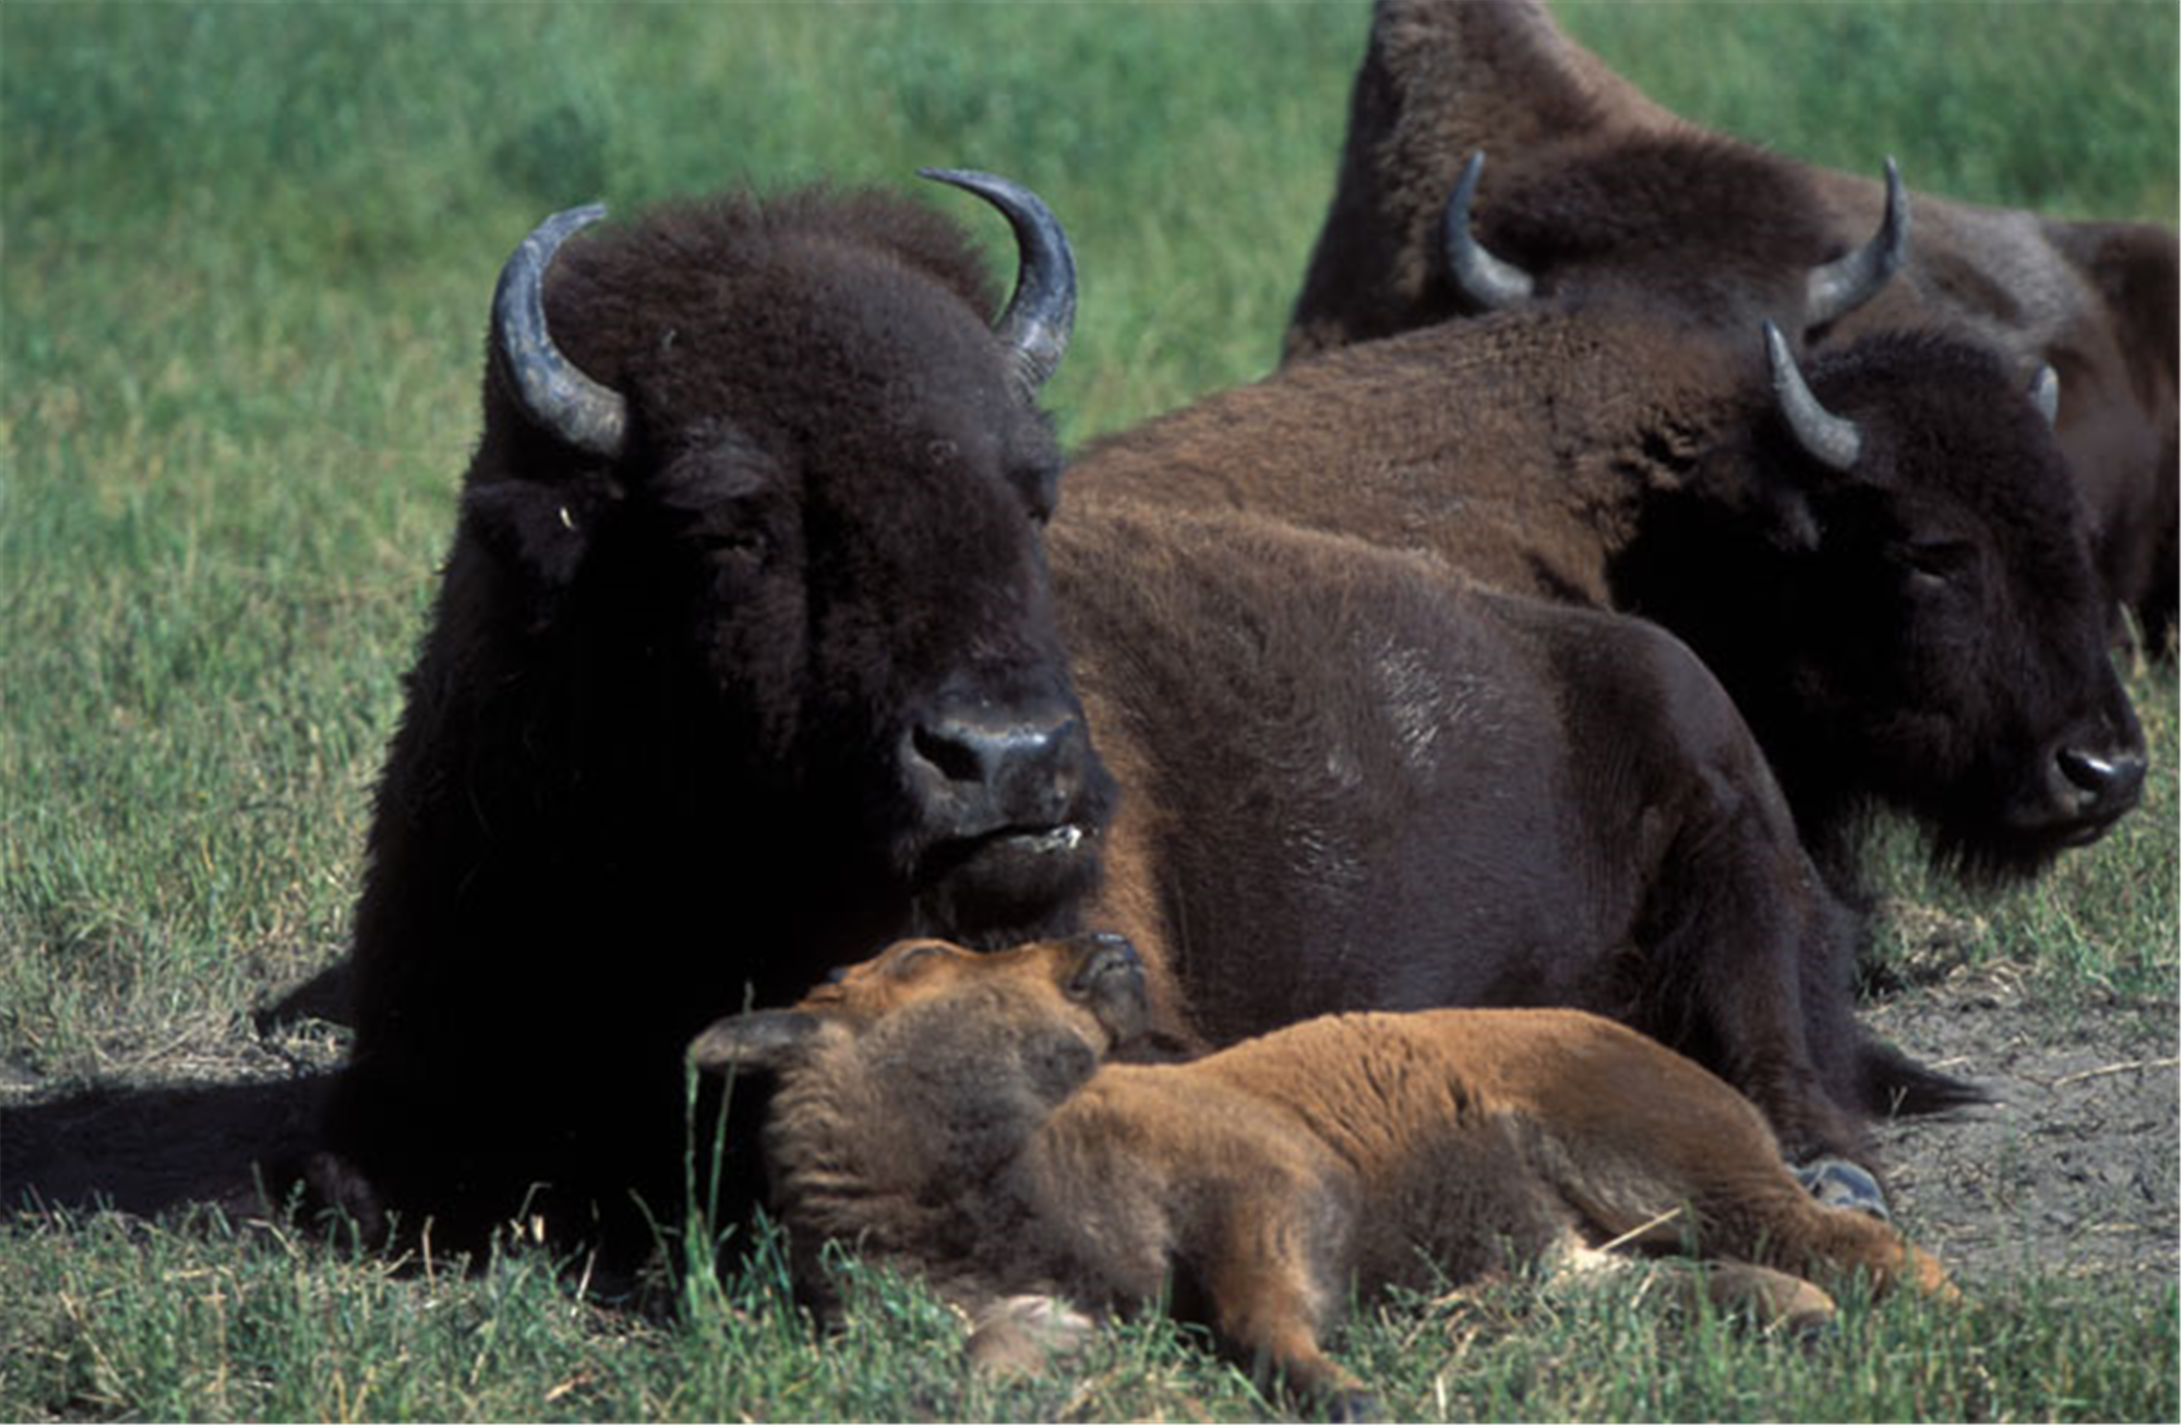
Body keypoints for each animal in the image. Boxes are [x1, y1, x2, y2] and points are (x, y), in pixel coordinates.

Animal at [689, 933, 1954, 1414]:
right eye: (918, 956)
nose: (1104, 947)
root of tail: (1613, 1031)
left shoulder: (1261, 1187)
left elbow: (1262, 1311)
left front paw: (1343, 1392)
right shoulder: (1032, 1303)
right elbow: (991, 1349)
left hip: (1668, 1160)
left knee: (1844, 1237)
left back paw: (1930, 1311)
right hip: (1561, 1258)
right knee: (1654, 1282)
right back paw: (1799, 1319)